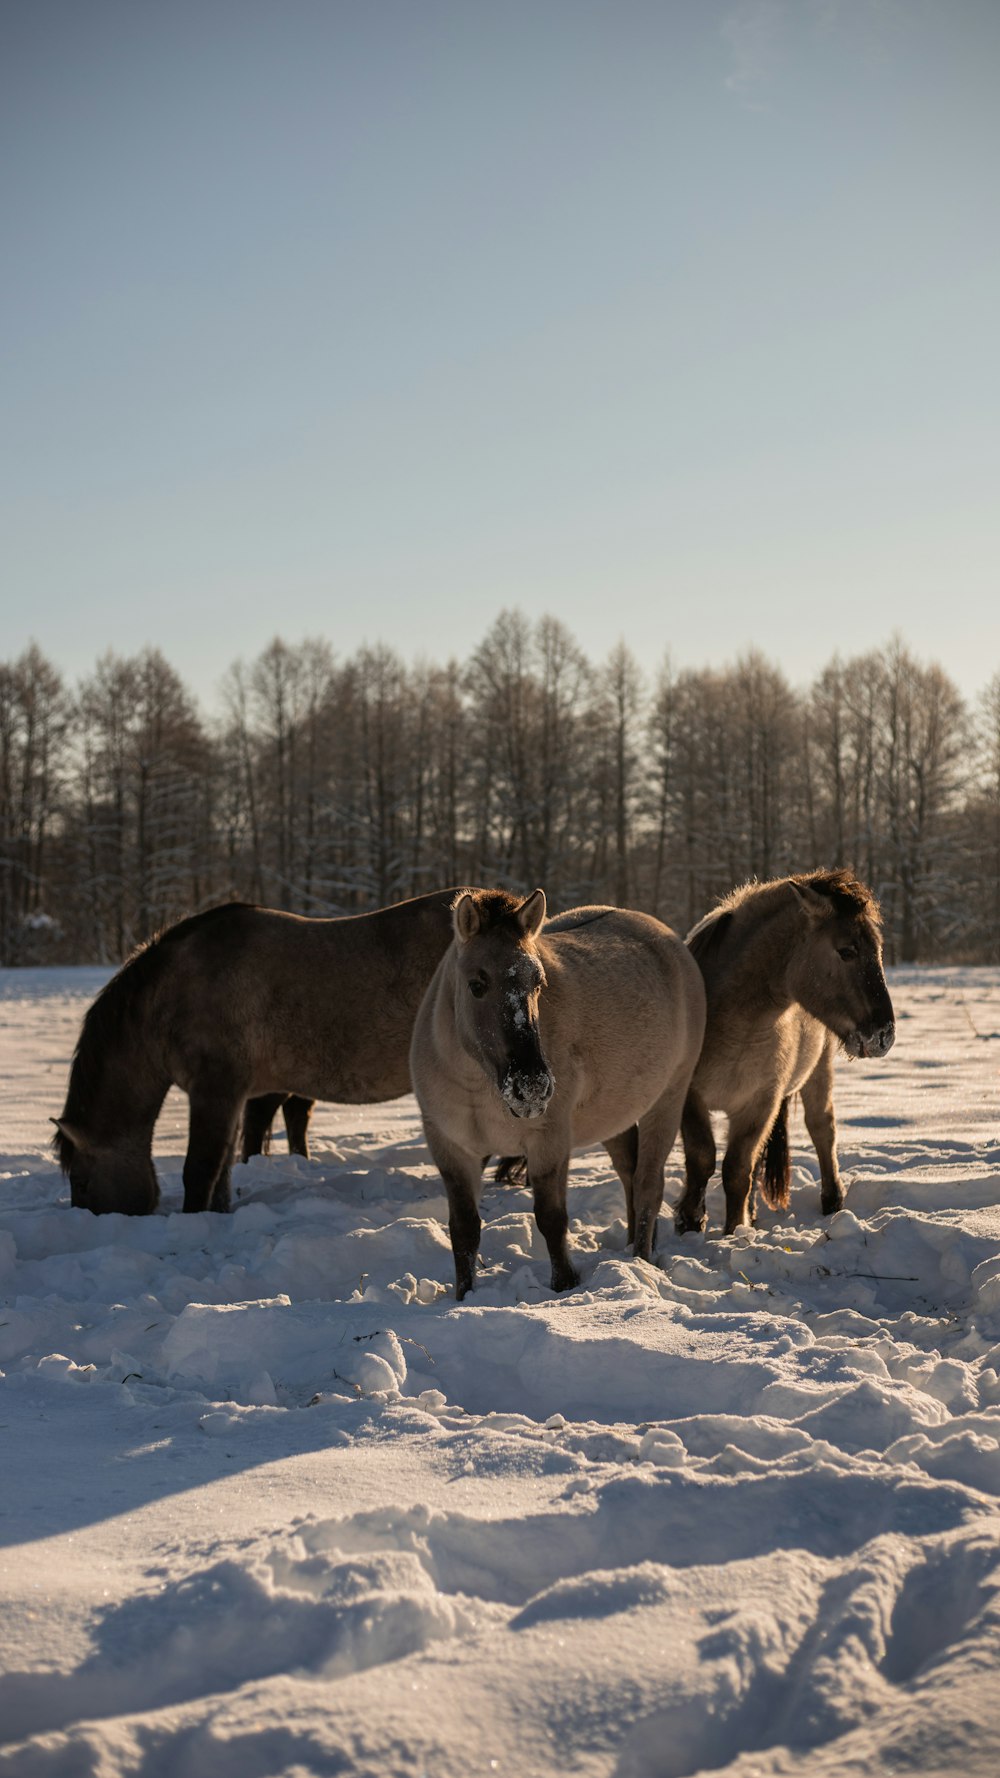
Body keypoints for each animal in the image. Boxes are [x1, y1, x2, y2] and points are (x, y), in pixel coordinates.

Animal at [56, 885, 469, 1216]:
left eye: (81, 1182)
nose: (87, 1219)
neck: (176, 992)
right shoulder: (231, 1096)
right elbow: (223, 1167)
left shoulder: (215, 1091)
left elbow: (201, 1168)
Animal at [409, 885, 704, 1294]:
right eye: (477, 985)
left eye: (538, 984)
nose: (531, 1086)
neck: (476, 1084)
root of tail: (669, 938)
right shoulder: (452, 1150)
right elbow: (464, 1230)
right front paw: (464, 1295)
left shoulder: (548, 1142)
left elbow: (551, 1219)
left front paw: (565, 1285)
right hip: (614, 1116)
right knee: (629, 1175)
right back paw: (631, 1248)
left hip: (668, 1100)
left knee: (648, 1184)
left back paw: (641, 1259)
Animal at [669, 864, 896, 1237]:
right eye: (847, 951)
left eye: (877, 950)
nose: (883, 1035)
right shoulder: (689, 1097)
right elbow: (702, 1160)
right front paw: (690, 1222)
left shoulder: (760, 1103)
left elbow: (736, 1171)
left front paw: (732, 1232)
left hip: (818, 1071)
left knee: (822, 1128)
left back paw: (832, 1202)